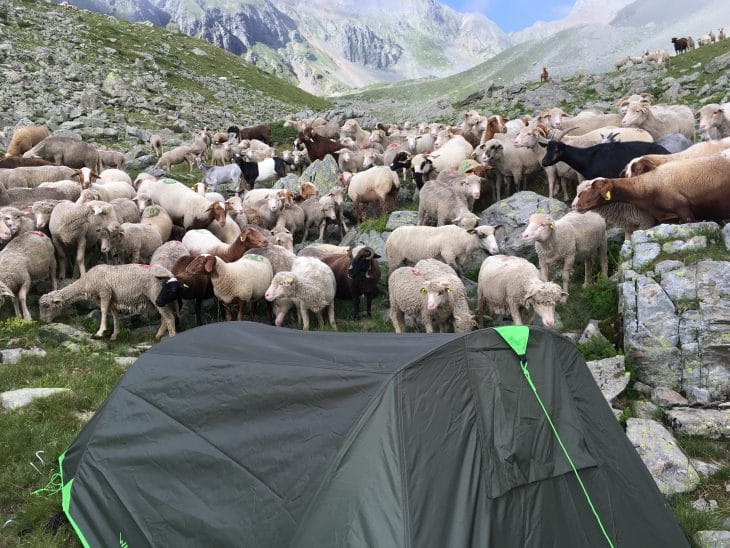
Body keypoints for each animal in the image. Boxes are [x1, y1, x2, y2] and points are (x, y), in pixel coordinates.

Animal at [39, 264, 176, 340]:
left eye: (47, 306)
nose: (42, 321)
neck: (86, 283)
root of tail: (169, 273)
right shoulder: (112, 298)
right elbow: (114, 315)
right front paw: (114, 335)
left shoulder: (105, 292)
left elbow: (104, 311)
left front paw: (100, 332)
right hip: (157, 299)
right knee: (165, 318)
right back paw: (157, 336)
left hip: (156, 294)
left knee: (169, 318)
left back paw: (171, 336)